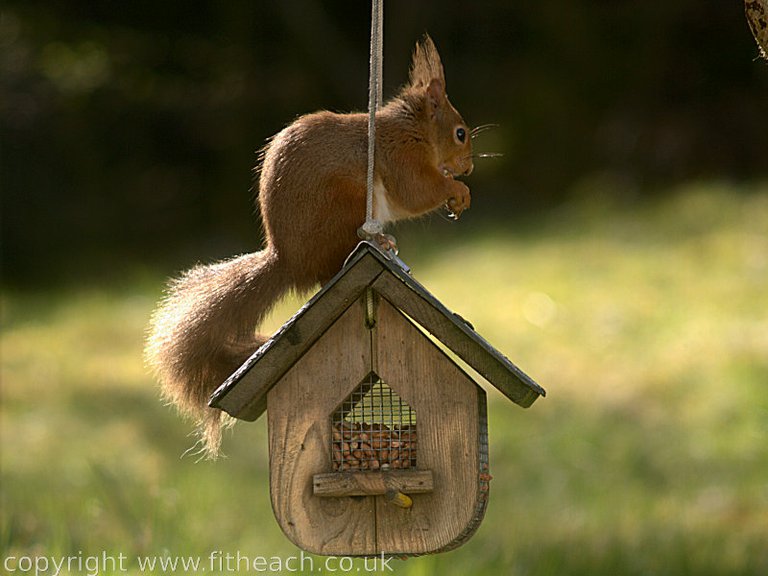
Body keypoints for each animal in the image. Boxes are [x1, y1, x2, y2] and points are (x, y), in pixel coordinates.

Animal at [141, 37, 472, 460]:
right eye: (461, 133)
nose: (467, 168)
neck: (413, 128)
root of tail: (288, 260)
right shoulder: (401, 158)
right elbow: (416, 192)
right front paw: (456, 191)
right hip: (345, 202)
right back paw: (377, 240)